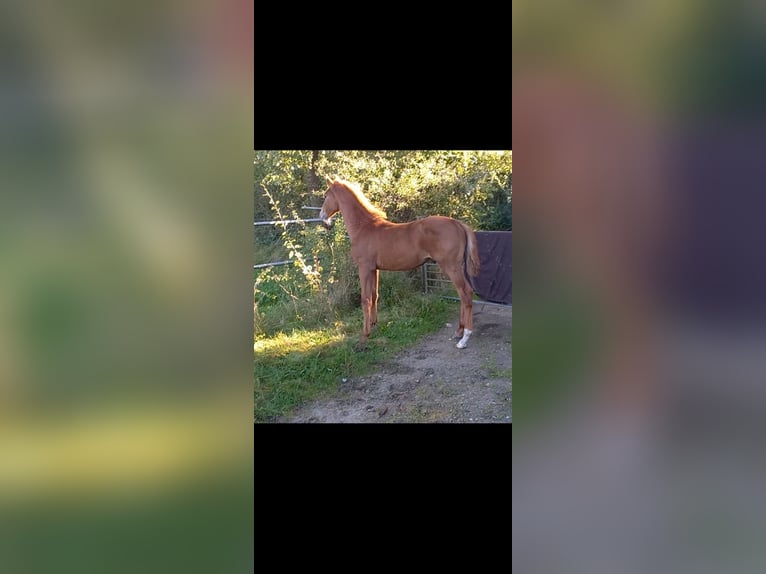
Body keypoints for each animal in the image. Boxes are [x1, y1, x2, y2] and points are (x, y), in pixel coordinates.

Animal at [318, 176, 480, 348]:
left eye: (325, 195)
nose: (323, 218)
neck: (363, 228)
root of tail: (457, 223)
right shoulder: (374, 269)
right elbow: (374, 296)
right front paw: (374, 326)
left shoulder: (364, 269)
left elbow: (365, 299)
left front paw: (364, 335)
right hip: (458, 267)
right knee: (463, 294)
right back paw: (459, 331)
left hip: (451, 267)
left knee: (465, 293)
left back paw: (465, 337)